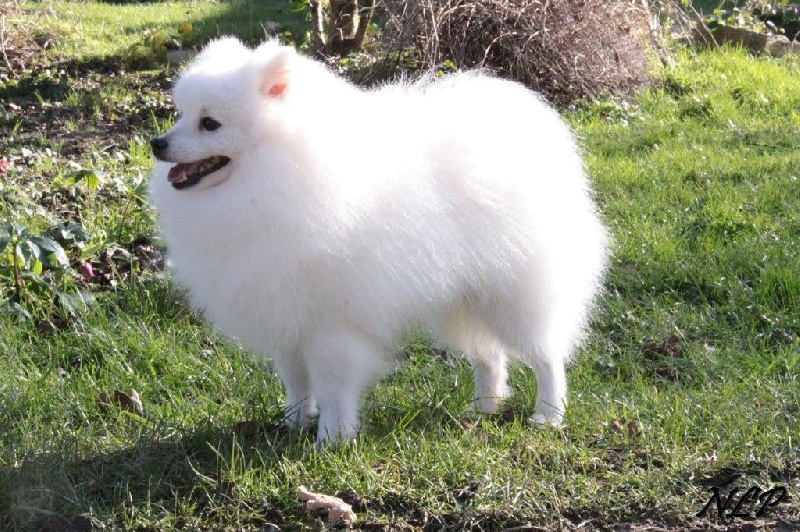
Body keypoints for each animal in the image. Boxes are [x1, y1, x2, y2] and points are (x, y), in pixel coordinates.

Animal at [149, 37, 608, 444]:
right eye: (180, 114)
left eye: (210, 123)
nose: (157, 143)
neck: (277, 173)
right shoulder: (286, 313)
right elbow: (295, 380)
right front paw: (294, 423)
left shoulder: (330, 324)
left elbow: (332, 387)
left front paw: (331, 439)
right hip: (463, 299)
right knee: (489, 356)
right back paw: (483, 407)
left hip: (513, 295)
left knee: (547, 357)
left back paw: (548, 415)